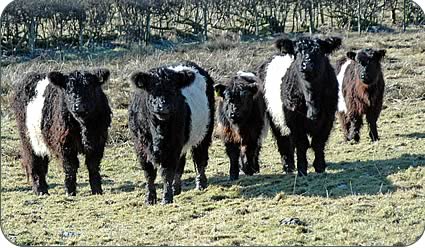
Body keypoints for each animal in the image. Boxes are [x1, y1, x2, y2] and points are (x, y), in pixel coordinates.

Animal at [11, 68, 112, 196]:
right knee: (34, 163)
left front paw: (97, 191)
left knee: (43, 164)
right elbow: (70, 167)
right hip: (28, 139)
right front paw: (70, 192)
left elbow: (93, 166)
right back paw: (40, 190)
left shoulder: (98, 142)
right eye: (68, 91)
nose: (79, 106)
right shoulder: (65, 144)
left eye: (90, 88)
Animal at [127, 61, 214, 204]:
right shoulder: (140, 147)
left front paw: (167, 198)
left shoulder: (171, 147)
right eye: (152, 90)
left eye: (173, 90)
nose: (163, 107)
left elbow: (167, 173)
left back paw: (200, 184)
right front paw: (150, 198)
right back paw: (176, 188)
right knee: (181, 164)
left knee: (199, 158)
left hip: (205, 132)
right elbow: (149, 173)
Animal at [255, 36, 342, 176]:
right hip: (275, 118)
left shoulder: (328, 119)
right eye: (297, 52)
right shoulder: (295, 121)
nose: (306, 65)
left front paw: (320, 167)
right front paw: (302, 169)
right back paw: (288, 166)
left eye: (319, 51)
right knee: (283, 141)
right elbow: (302, 144)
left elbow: (318, 143)